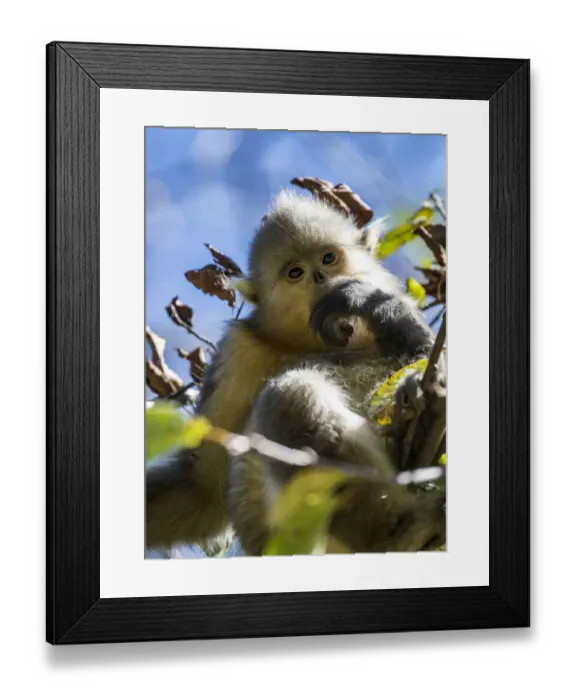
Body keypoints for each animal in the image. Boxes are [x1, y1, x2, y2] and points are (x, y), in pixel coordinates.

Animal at [146, 189, 445, 555]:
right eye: (295, 273)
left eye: (328, 259)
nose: (320, 278)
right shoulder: (239, 350)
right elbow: (201, 492)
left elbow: (424, 356)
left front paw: (372, 305)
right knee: (290, 394)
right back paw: (395, 531)